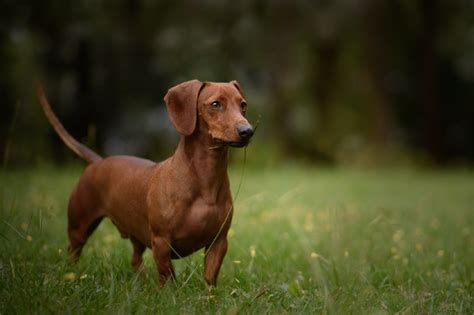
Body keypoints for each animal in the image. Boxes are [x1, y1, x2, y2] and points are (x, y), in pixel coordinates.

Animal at [35, 80, 254, 288]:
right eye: (215, 104)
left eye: (243, 104)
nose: (247, 131)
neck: (205, 179)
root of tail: (98, 161)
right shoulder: (161, 241)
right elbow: (167, 274)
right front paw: (167, 293)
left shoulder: (219, 241)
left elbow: (209, 277)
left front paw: (208, 296)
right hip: (79, 228)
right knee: (73, 251)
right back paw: (71, 275)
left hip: (136, 236)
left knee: (135, 259)